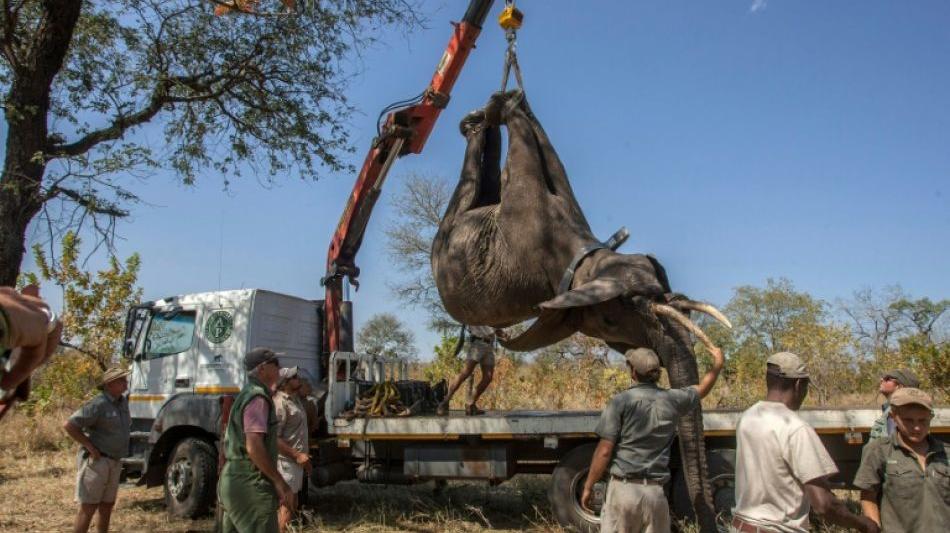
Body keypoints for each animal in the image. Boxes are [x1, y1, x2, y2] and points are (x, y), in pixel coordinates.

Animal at [436, 89, 732, 528]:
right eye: (622, 309)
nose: (712, 506)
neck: (584, 258)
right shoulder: (529, 222)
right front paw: (507, 103)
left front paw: (508, 103)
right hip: (447, 237)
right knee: (470, 188)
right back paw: (478, 119)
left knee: (479, 184)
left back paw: (476, 120)